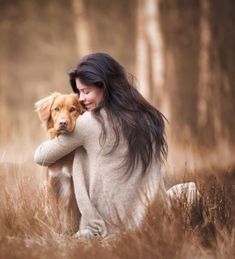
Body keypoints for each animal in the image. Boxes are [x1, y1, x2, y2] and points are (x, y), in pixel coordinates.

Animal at [34, 93, 82, 234]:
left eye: (73, 109)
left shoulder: (71, 184)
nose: (63, 123)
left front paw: (68, 231)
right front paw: (55, 231)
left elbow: (68, 211)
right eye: (56, 109)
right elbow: (54, 212)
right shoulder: (51, 184)